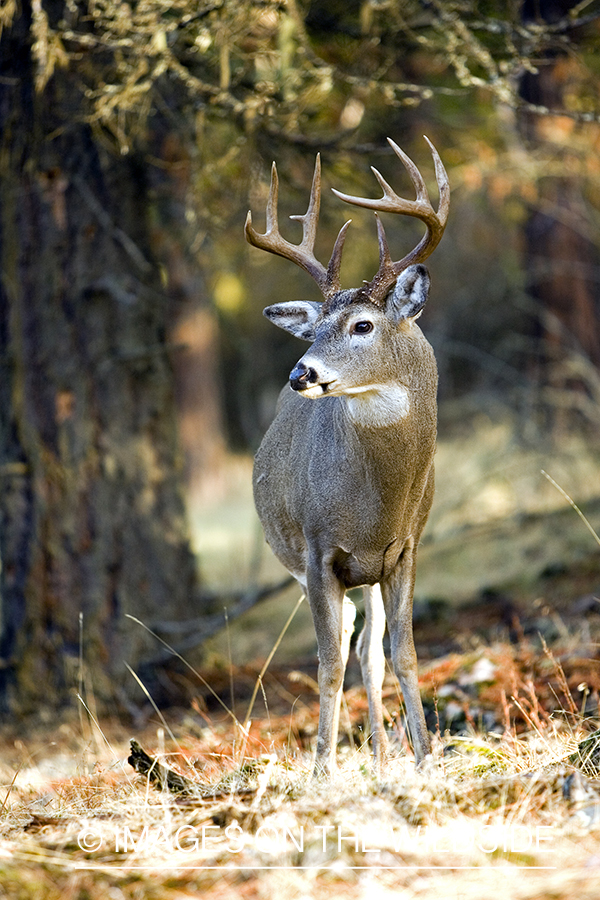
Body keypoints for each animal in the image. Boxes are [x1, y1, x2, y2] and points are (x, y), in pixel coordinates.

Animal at [245, 139, 450, 772]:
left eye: (362, 324)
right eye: (314, 330)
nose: (300, 374)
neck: (374, 506)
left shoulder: (406, 547)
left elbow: (404, 653)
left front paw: (424, 759)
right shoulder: (317, 552)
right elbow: (328, 661)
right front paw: (322, 769)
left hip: (371, 574)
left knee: (370, 650)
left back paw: (384, 755)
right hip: (310, 565)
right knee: (349, 644)